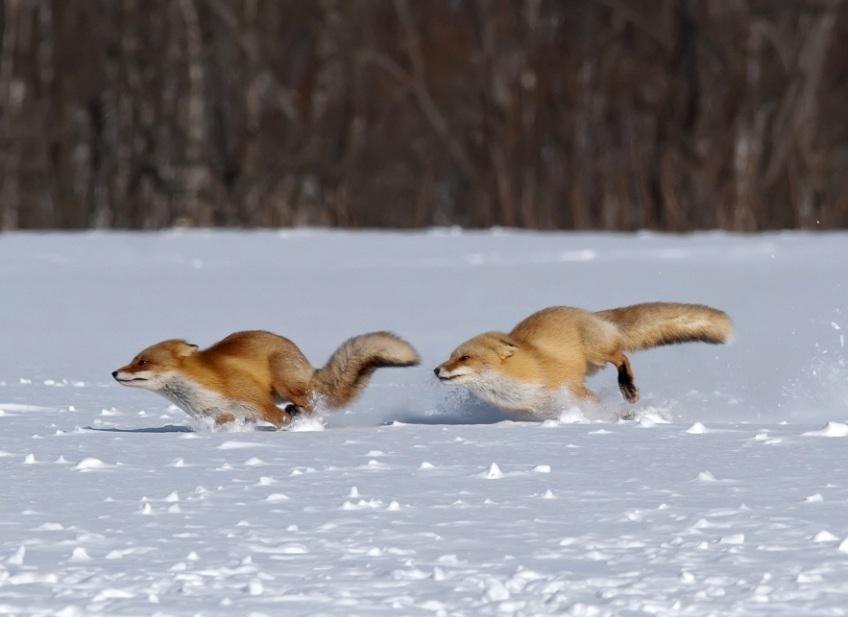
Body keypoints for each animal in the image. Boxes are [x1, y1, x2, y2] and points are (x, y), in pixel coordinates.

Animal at [112, 330, 418, 426]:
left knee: (310, 405)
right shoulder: (225, 416)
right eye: (135, 359)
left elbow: (281, 422)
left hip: (285, 384)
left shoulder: (259, 404)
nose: (114, 372)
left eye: (143, 361)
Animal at [434, 300, 732, 412]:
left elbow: (599, 406)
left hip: (597, 352)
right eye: (451, 356)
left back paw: (628, 388)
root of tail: (588, 312)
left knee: (622, 356)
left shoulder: (572, 388)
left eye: (465, 358)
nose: (436, 370)